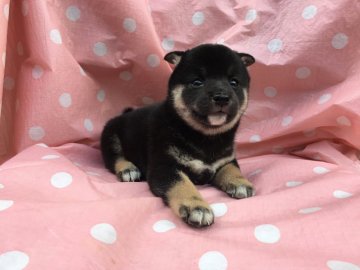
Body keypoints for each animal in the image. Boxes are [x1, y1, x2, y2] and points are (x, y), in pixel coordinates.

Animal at [100, 44, 255, 228]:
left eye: (234, 82)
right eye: (197, 82)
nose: (222, 97)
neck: (205, 137)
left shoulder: (226, 160)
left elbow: (232, 169)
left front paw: (240, 181)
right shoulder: (165, 167)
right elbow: (182, 184)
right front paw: (197, 206)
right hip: (111, 137)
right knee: (115, 158)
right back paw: (128, 169)